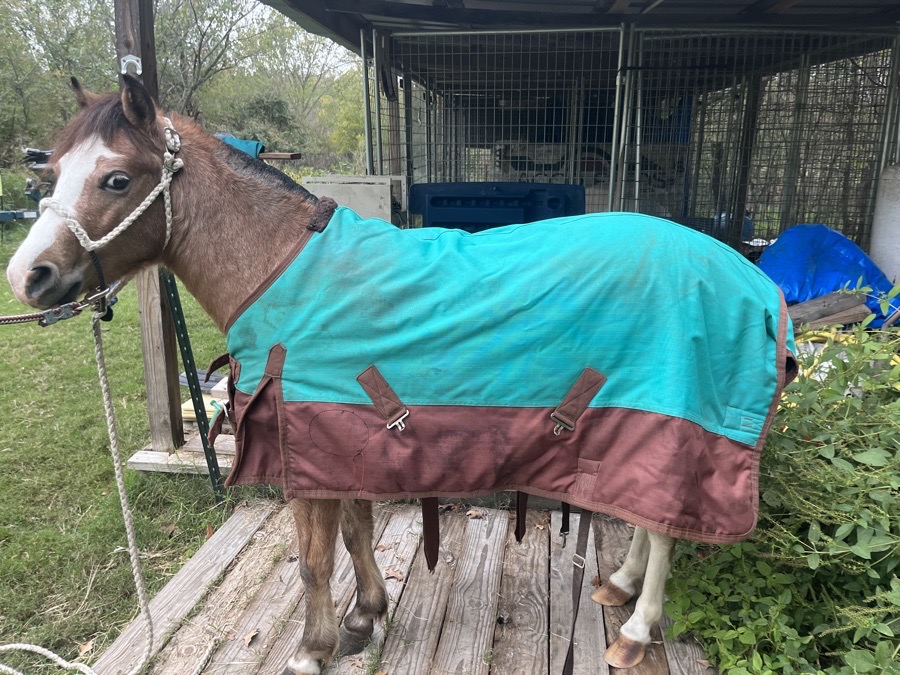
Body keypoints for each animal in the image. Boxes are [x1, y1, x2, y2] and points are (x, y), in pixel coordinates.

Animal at [7, 76, 797, 674]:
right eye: (50, 174)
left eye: (116, 178)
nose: (27, 276)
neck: (283, 269)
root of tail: (755, 283)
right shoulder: (339, 432)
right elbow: (358, 532)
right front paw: (365, 618)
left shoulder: (306, 443)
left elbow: (313, 561)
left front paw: (313, 650)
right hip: (641, 422)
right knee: (647, 515)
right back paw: (620, 587)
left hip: (678, 419)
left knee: (665, 527)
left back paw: (635, 630)